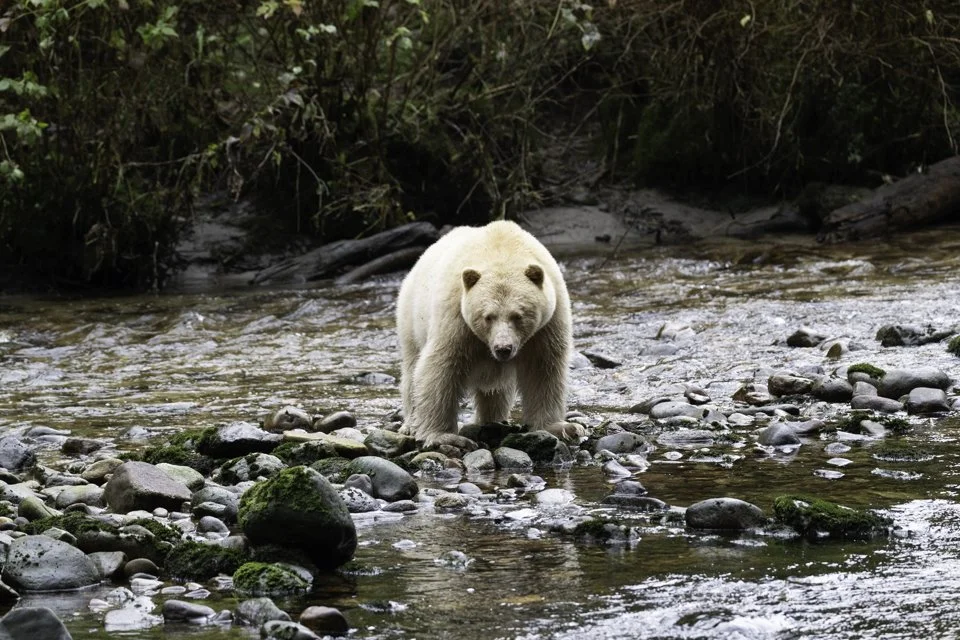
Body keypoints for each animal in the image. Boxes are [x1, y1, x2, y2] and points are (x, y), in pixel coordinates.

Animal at [395, 219, 582, 447]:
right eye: (488, 316)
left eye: (518, 316)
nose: (503, 348)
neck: (501, 250)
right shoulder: (456, 318)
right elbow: (440, 367)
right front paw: (442, 436)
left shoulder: (547, 324)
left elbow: (543, 369)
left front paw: (561, 427)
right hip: (411, 317)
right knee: (412, 368)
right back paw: (410, 425)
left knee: (495, 391)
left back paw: (492, 419)